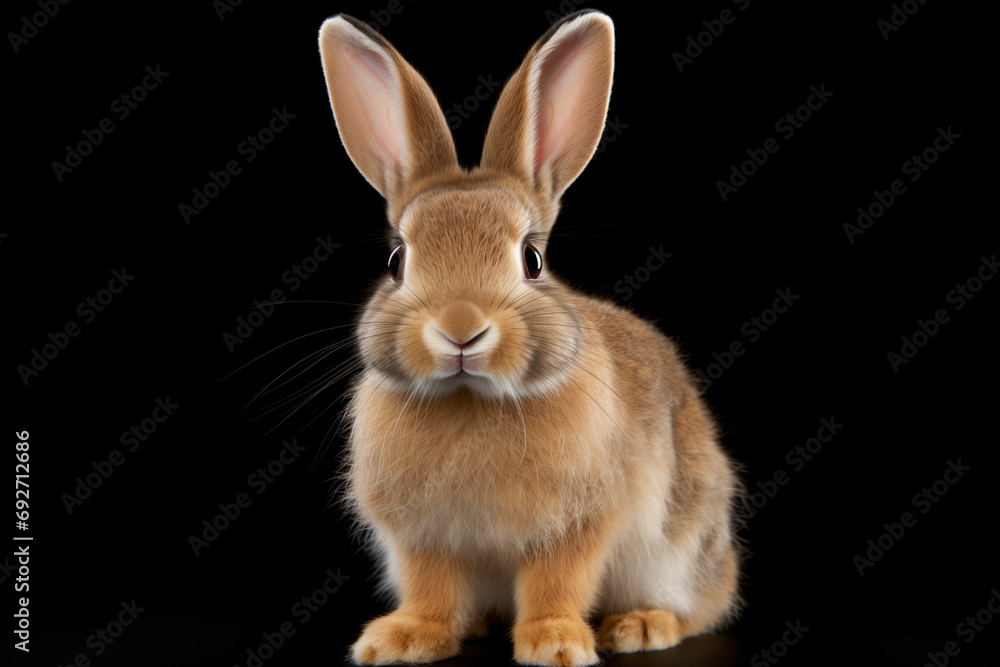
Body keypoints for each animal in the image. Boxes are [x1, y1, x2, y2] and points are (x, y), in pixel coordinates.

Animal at [318, 7, 744, 664]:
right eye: (397, 261)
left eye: (532, 260)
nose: (460, 330)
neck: (471, 399)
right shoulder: (424, 538)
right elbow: (431, 587)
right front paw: (404, 637)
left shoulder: (577, 525)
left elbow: (556, 580)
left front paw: (555, 642)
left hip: (682, 546)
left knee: (699, 608)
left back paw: (641, 626)